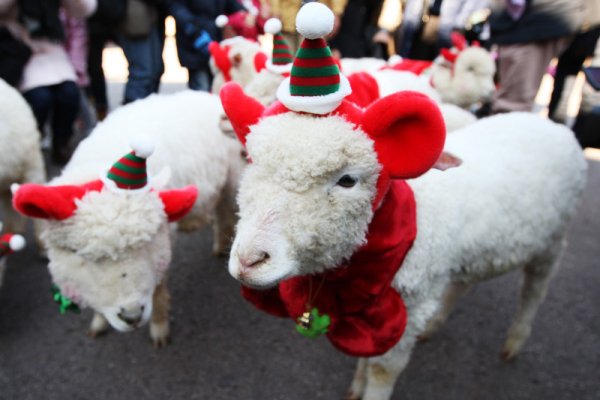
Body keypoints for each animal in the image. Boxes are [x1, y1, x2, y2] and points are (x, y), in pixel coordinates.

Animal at [219, 2, 584, 396]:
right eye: (252, 160)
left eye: (347, 180)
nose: (249, 261)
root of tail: (549, 123)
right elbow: (367, 358)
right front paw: (356, 384)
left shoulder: (411, 305)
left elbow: (382, 371)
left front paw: (368, 387)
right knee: (465, 281)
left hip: (554, 240)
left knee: (534, 290)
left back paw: (515, 339)